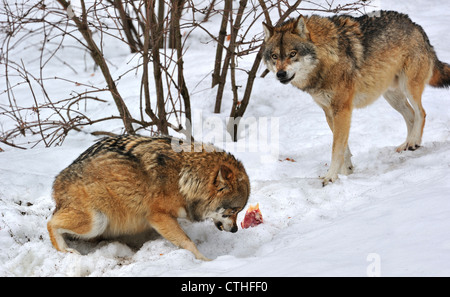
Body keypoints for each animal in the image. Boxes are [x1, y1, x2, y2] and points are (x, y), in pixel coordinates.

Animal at [48, 134, 251, 260]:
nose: (235, 230)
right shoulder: (158, 217)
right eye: (232, 211)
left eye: (239, 211)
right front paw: (206, 261)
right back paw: (66, 250)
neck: (183, 179)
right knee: (50, 223)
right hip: (97, 221)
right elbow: (188, 242)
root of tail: (57, 182)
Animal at [262, 10, 450, 185]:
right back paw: (407, 144)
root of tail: (416, 26)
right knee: (411, 115)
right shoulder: (329, 112)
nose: (280, 74)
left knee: (421, 113)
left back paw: (414, 142)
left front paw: (331, 176)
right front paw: (346, 172)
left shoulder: (342, 110)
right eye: (274, 56)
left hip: (409, 87)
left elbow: (336, 148)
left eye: (293, 53)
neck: (327, 57)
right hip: (391, 96)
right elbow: (344, 148)